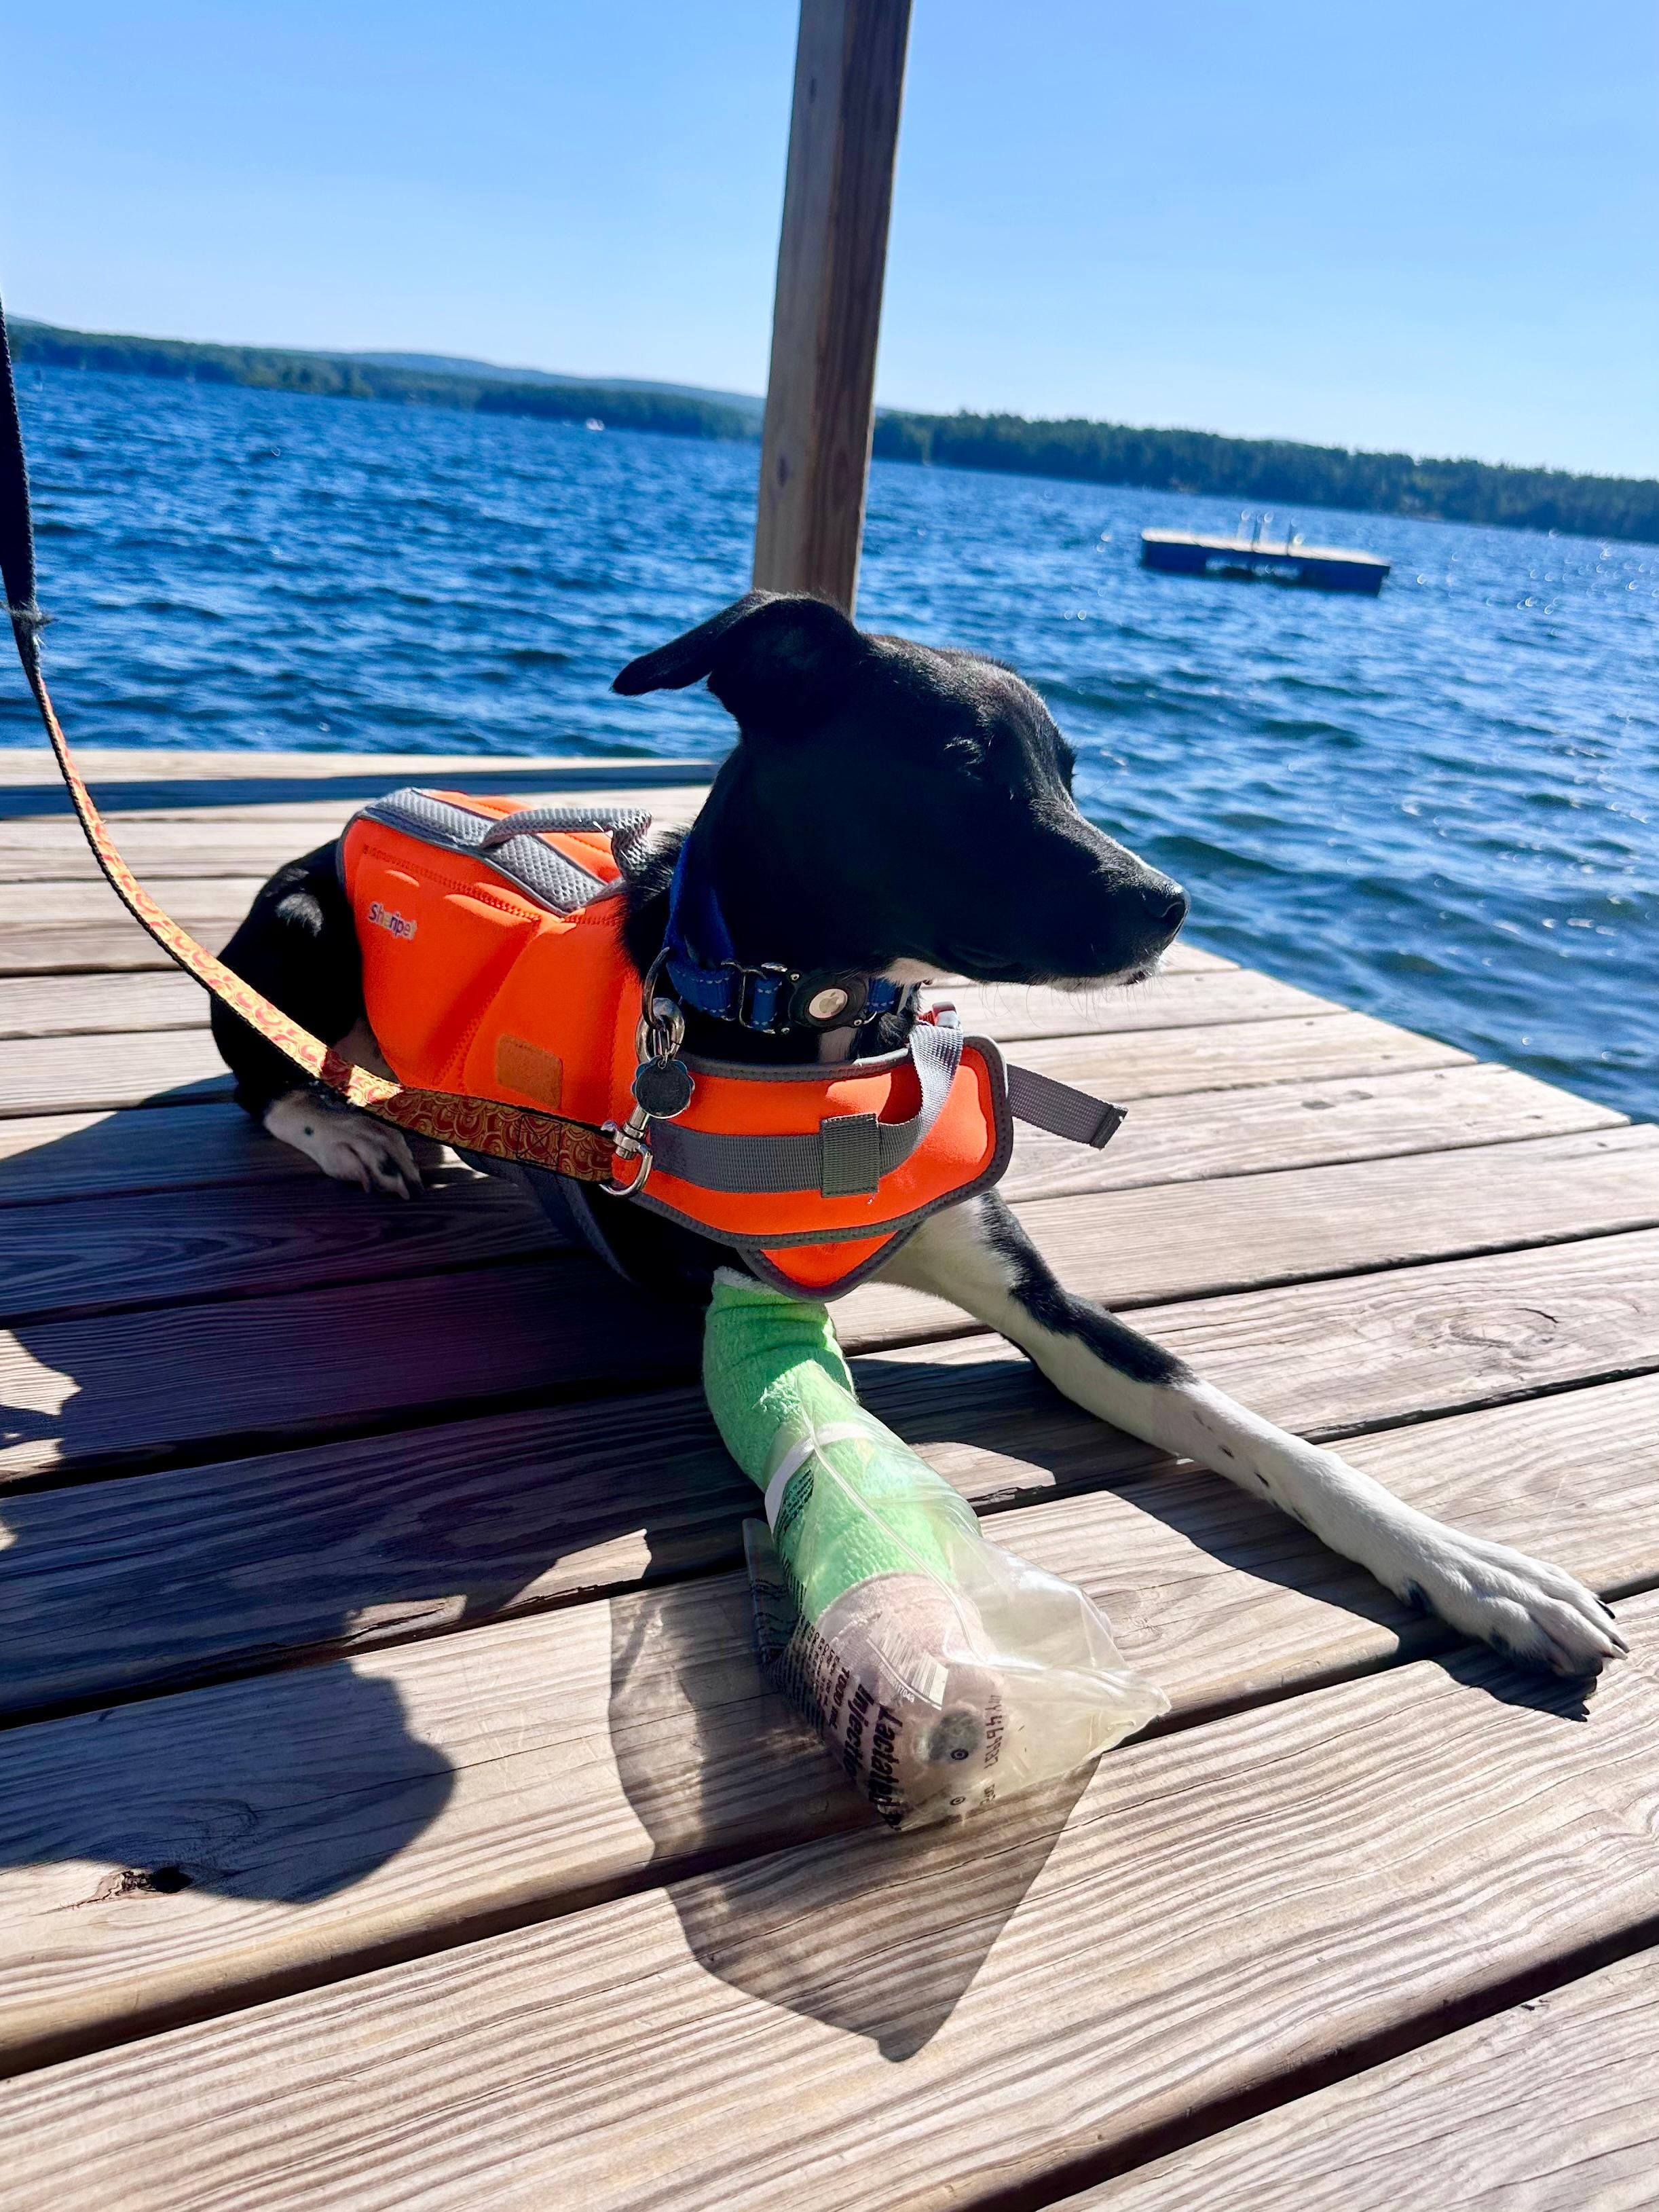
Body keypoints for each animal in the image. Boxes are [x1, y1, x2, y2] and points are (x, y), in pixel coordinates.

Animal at [213, 590, 1624, 1681]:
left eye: (1065, 768)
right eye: (957, 759)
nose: (1168, 902)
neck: (821, 1027)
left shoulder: (1042, 1301)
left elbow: (1253, 1428)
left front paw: (1471, 1566)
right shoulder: (747, 1305)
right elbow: (838, 1450)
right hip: (297, 924)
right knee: (258, 1072)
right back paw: (354, 1129)